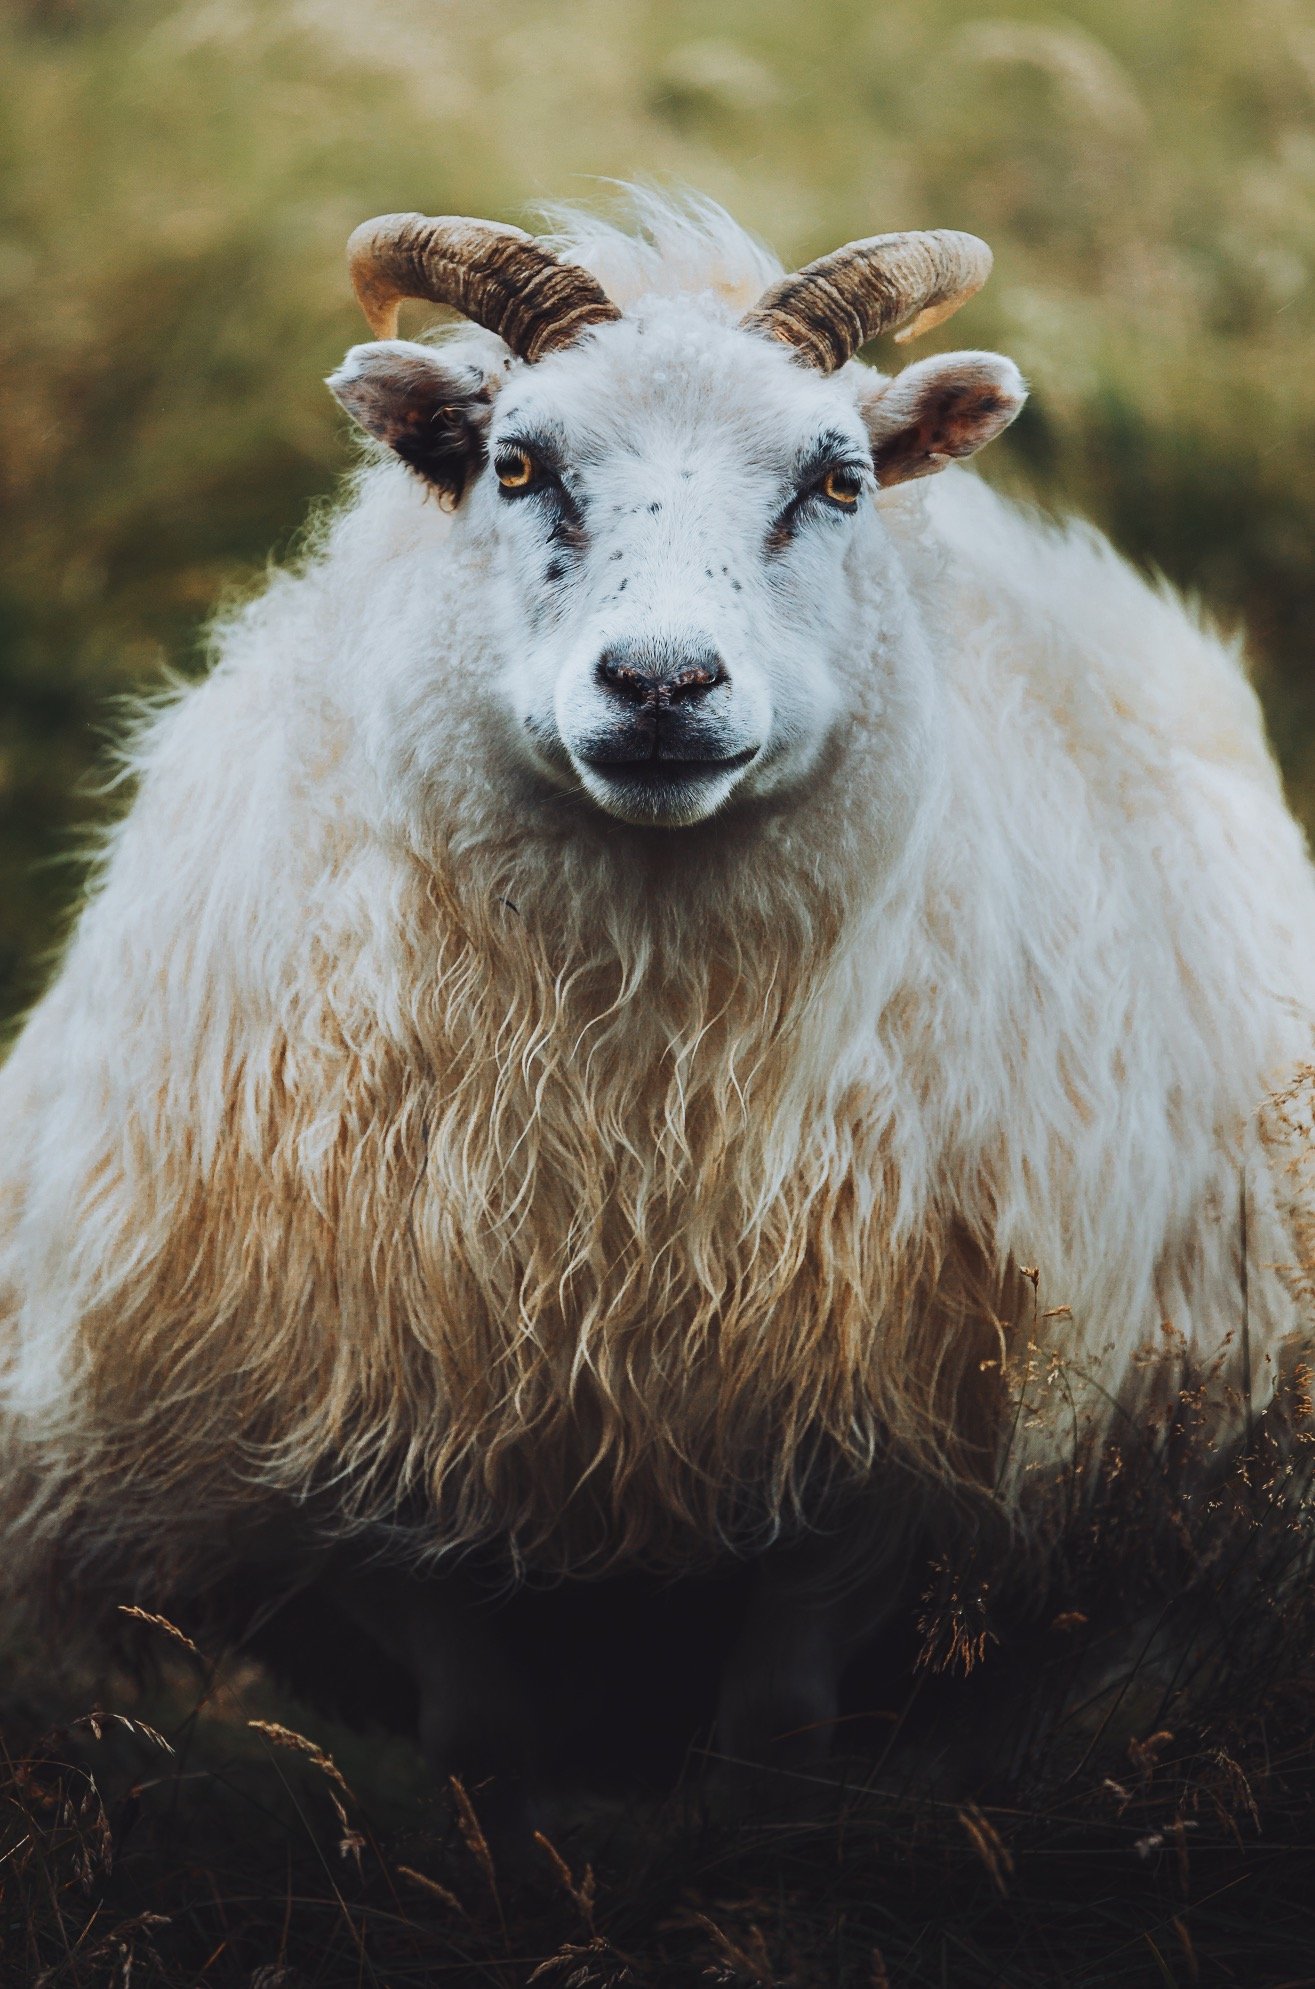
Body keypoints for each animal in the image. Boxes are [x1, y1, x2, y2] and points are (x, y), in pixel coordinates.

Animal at [2, 192, 1313, 1792]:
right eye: (515, 463)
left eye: (838, 479)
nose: (662, 684)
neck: (637, 1107)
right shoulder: (357, 1441)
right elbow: (479, 1737)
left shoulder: (878, 1462)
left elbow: (775, 1728)